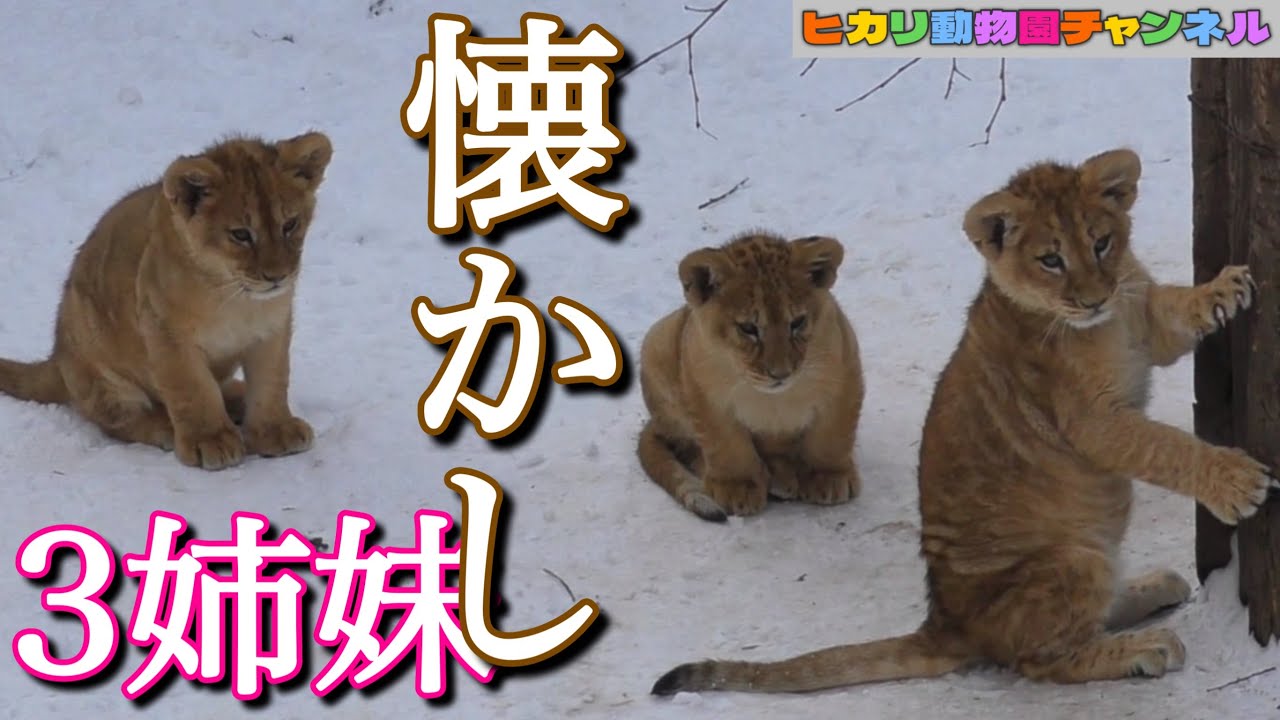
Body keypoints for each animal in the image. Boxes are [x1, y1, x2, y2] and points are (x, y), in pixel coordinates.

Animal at [0, 131, 333, 470]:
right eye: (241, 234)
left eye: (290, 225)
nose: (277, 277)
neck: (234, 298)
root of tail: (57, 359)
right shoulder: (165, 331)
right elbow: (192, 387)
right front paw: (210, 440)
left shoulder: (272, 329)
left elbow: (271, 380)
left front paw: (274, 430)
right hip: (99, 364)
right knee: (118, 419)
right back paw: (165, 426)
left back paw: (237, 397)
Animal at [636, 231, 865, 522]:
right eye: (748, 328)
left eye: (797, 322)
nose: (781, 373)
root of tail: (655, 422)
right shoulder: (704, 393)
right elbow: (725, 443)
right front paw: (738, 488)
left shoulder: (845, 373)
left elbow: (832, 434)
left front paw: (828, 478)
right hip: (657, 341)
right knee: (689, 449)